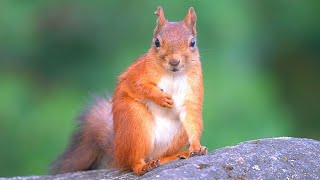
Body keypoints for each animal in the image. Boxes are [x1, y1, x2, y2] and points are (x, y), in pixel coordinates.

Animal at [50, 7, 205, 176]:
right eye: (156, 42)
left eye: (192, 42)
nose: (174, 61)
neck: (173, 74)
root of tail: (118, 153)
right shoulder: (138, 73)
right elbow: (137, 85)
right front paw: (161, 97)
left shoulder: (193, 90)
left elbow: (192, 118)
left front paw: (196, 147)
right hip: (135, 123)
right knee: (133, 163)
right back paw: (144, 166)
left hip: (176, 134)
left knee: (158, 156)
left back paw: (176, 156)